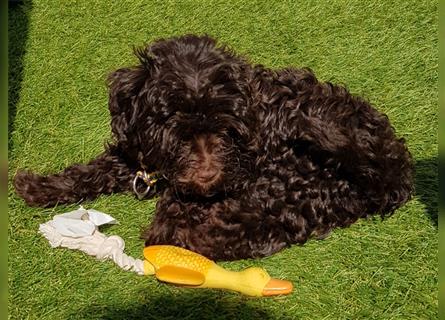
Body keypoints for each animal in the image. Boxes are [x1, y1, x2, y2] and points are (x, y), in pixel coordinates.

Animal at [13, 35, 412, 260]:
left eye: (225, 127)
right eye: (172, 125)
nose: (207, 173)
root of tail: (393, 169)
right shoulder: (136, 152)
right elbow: (96, 169)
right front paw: (40, 186)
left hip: (291, 177)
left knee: (253, 229)